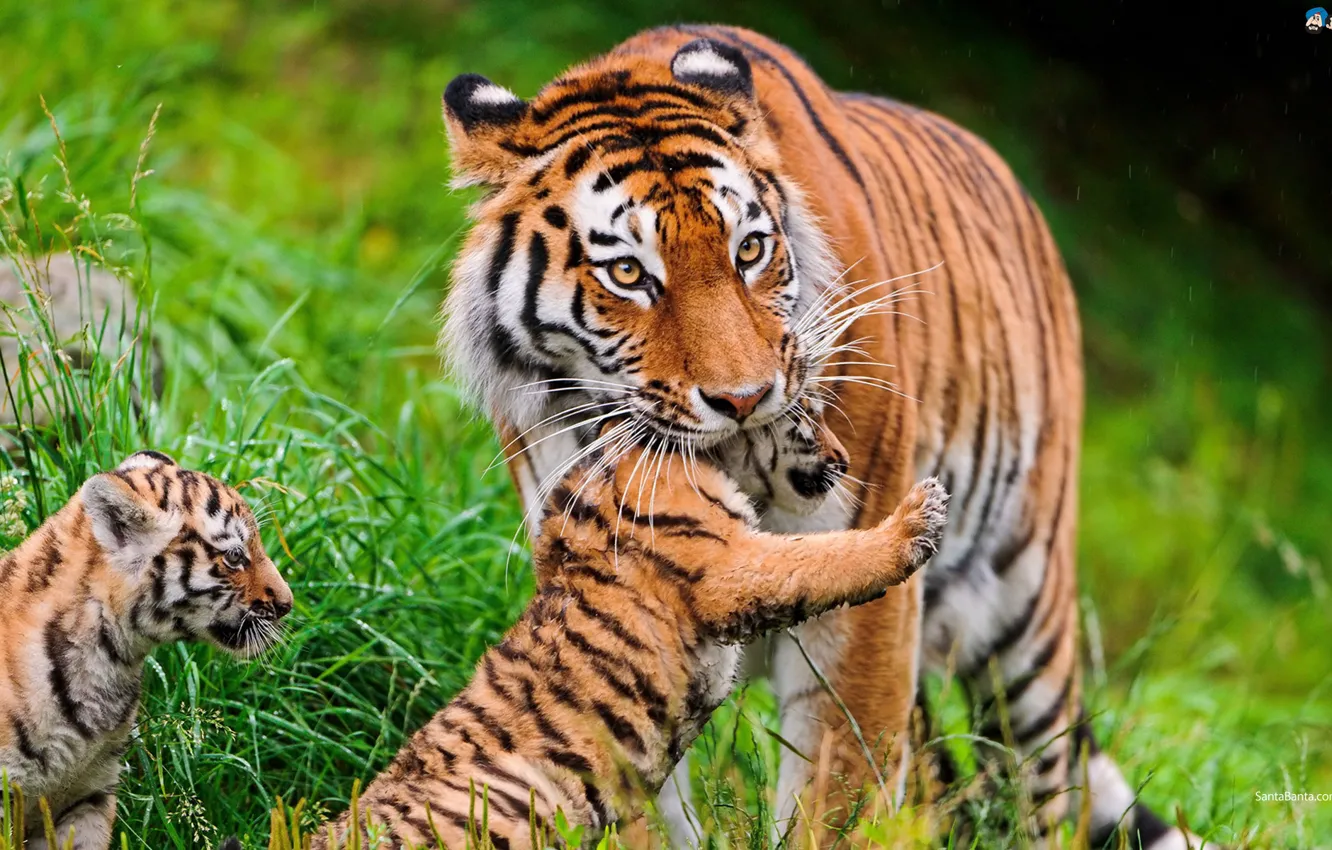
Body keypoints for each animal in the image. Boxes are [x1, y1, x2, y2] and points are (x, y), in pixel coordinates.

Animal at [312, 419, 948, 850]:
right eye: (806, 412)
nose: (844, 457)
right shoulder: (728, 566)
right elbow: (821, 557)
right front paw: (917, 518)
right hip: (517, 797)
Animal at [437, 24, 1220, 849]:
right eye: (627, 273)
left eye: (749, 251)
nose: (744, 399)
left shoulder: (866, 603)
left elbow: (840, 791)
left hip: (1027, 618)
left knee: (1043, 789)